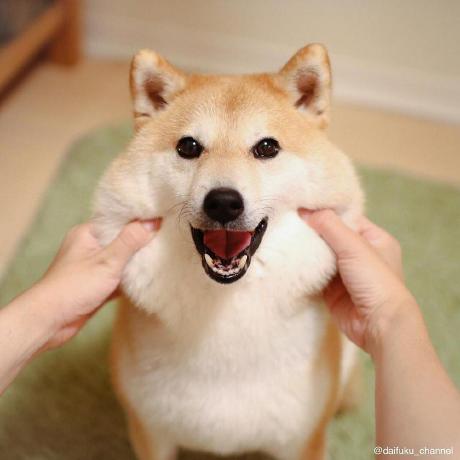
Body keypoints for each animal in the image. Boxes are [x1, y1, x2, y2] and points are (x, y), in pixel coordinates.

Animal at [92, 43, 364, 460]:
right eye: (188, 147)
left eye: (267, 147)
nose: (223, 202)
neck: (227, 306)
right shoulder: (150, 431)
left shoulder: (302, 440)